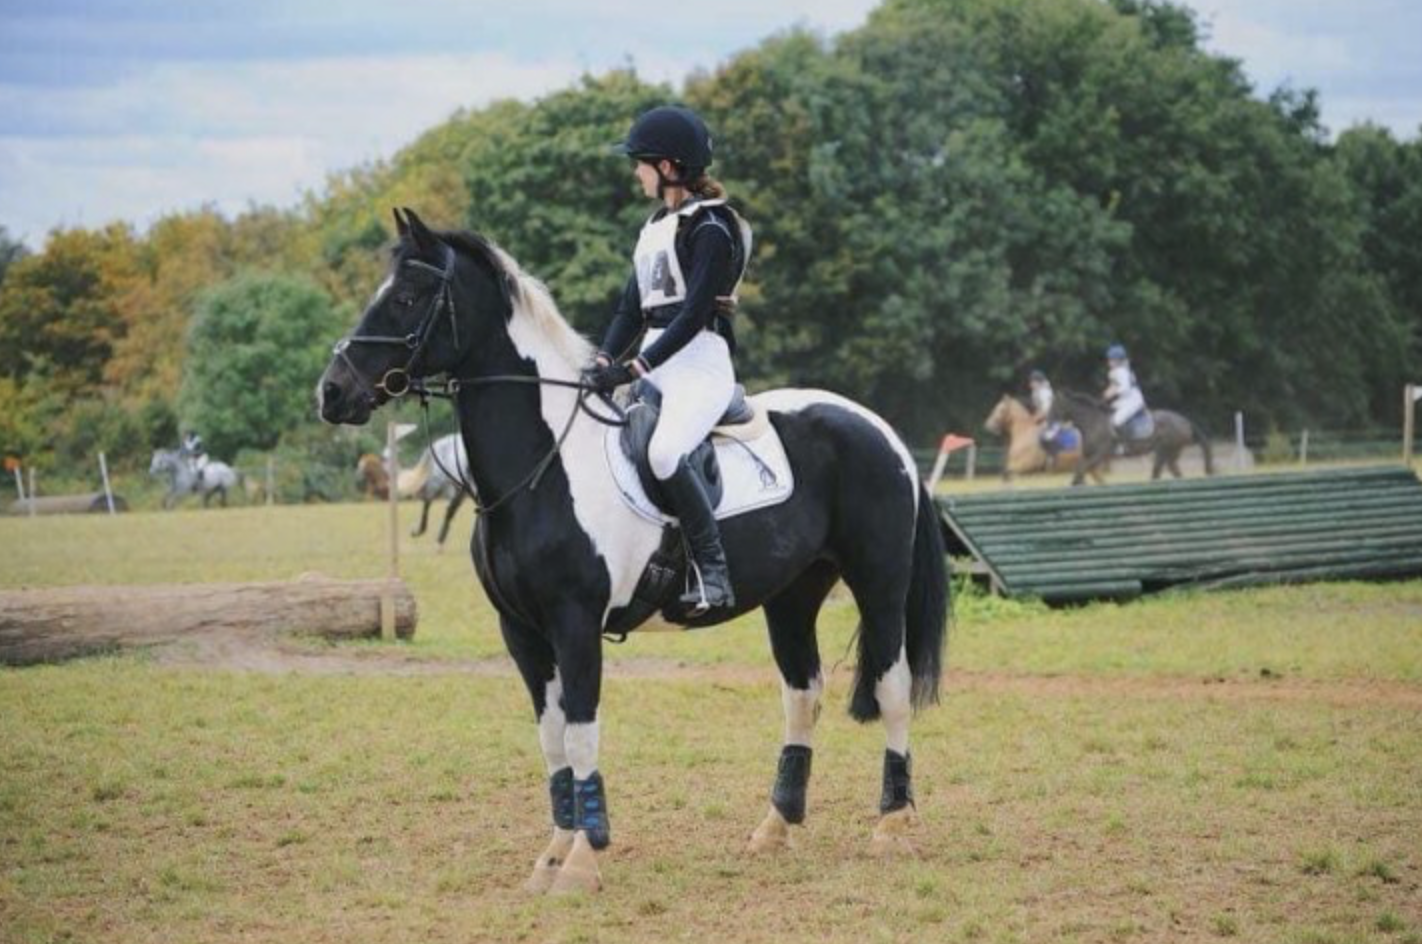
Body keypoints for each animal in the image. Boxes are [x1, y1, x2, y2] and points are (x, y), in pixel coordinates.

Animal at [317, 209, 949, 895]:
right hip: (792, 597)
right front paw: (552, 855)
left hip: (879, 585)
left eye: (406, 298)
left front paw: (581, 859)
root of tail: (879, 427)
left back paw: (892, 826)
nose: (332, 392)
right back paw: (774, 828)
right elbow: (553, 738)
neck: (544, 466)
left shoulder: (574, 623)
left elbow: (582, 733)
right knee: (802, 696)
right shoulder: (522, 632)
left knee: (891, 687)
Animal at [1049, 389, 1215, 486]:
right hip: (1170, 455)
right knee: (1175, 473)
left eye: (1054, 406)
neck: (1092, 421)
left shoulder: (1100, 454)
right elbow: (1080, 470)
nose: (1048, 422)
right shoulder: (1087, 454)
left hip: (1165, 451)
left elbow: (1082, 470)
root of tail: (1185, 421)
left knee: (1159, 473)